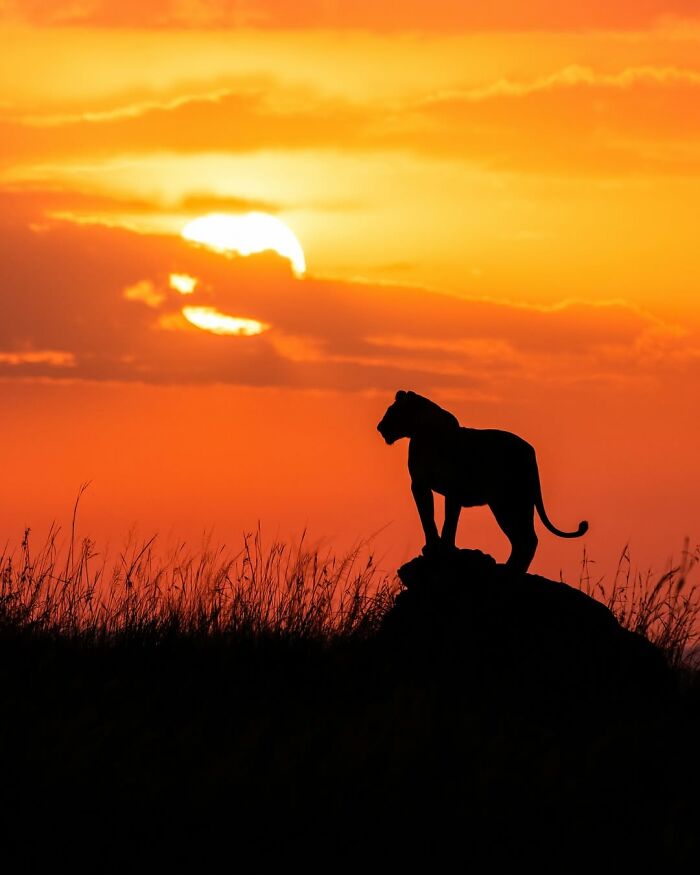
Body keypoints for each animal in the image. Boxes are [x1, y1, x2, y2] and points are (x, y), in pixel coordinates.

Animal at [377, 390, 588, 573]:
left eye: (393, 411)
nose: (380, 427)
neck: (423, 436)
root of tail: (530, 452)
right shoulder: (420, 485)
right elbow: (427, 516)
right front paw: (432, 547)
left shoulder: (454, 489)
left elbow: (449, 521)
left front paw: (445, 549)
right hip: (508, 504)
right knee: (523, 539)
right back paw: (510, 568)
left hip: (512, 502)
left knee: (528, 539)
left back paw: (510, 570)